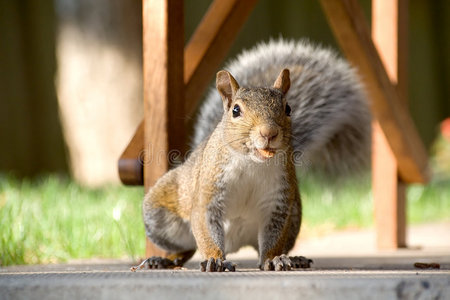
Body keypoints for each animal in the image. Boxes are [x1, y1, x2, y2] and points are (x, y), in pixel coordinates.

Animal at [132, 39, 370, 272]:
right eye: (236, 110)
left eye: (288, 109)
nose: (269, 133)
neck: (251, 162)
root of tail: (235, 245)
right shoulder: (208, 196)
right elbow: (206, 230)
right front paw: (214, 259)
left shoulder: (278, 203)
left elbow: (274, 239)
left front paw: (274, 259)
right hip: (159, 215)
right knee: (187, 247)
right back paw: (163, 260)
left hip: (294, 216)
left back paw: (295, 258)